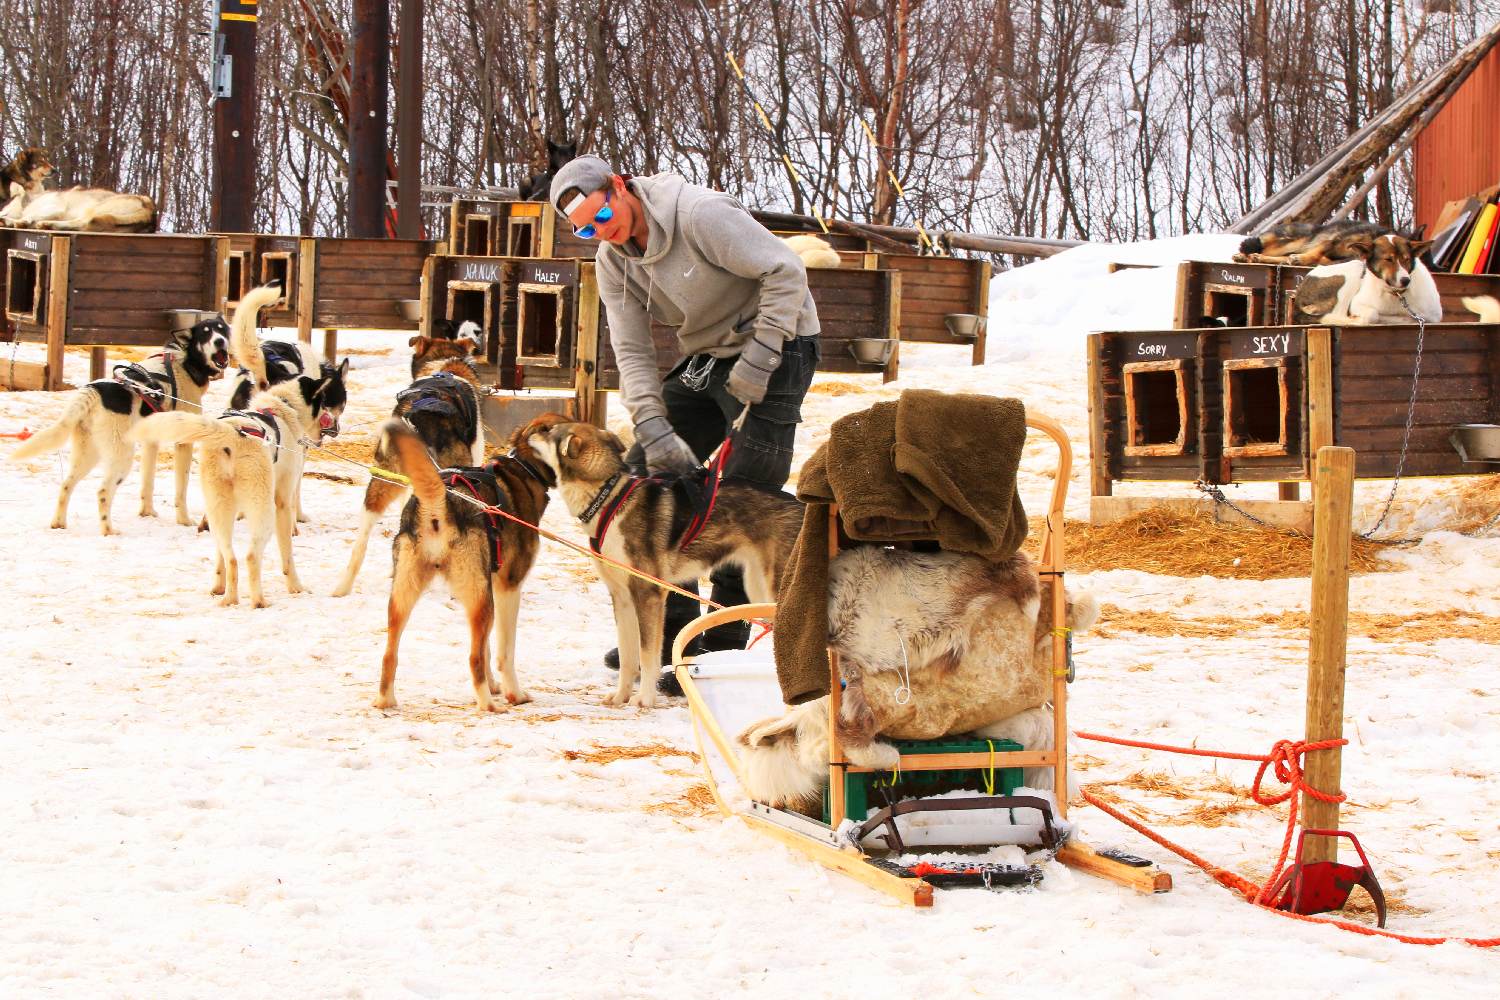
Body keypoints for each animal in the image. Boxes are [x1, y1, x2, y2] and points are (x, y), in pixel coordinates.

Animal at [375, 413, 564, 710]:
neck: (525, 469)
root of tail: (440, 502)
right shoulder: (507, 589)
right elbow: (503, 653)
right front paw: (513, 693)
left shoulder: (489, 586)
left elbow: (486, 646)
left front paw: (495, 684)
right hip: (481, 600)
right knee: (473, 658)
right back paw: (488, 704)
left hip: (406, 596)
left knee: (389, 654)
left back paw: (385, 699)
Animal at [531, 422, 810, 710]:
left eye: (549, 431)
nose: (529, 432)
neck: (610, 501)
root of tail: (803, 505)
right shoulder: (622, 598)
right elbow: (628, 657)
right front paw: (620, 696)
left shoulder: (648, 596)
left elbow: (646, 656)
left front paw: (644, 698)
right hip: (757, 587)